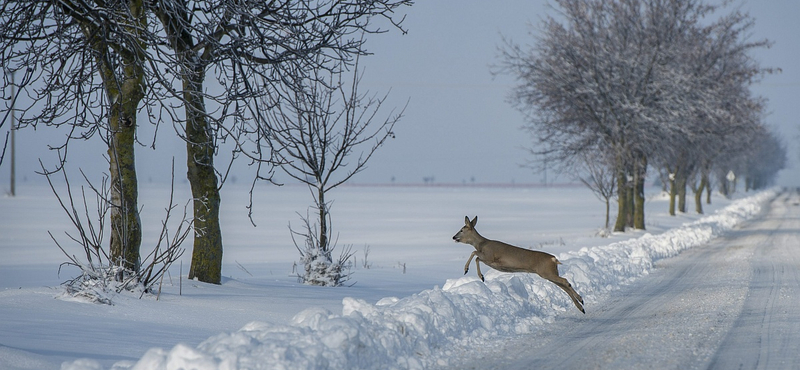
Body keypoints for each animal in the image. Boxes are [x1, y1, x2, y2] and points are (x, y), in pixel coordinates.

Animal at [454, 215, 584, 314]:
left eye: (461, 230)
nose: (454, 237)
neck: (481, 244)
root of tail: (553, 259)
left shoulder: (490, 257)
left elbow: (475, 254)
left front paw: (475, 274)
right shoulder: (489, 259)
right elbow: (475, 255)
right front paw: (477, 275)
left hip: (547, 272)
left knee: (565, 281)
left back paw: (581, 301)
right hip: (549, 273)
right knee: (565, 286)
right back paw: (581, 306)